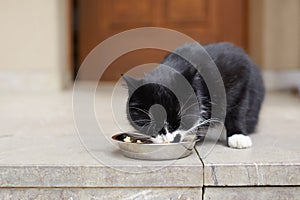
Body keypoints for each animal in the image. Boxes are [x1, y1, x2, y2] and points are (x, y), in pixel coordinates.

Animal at [122, 42, 264, 148]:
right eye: (151, 123)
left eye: (181, 119)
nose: (170, 139)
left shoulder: (239, 71)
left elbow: (237, 108)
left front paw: (238, 136)